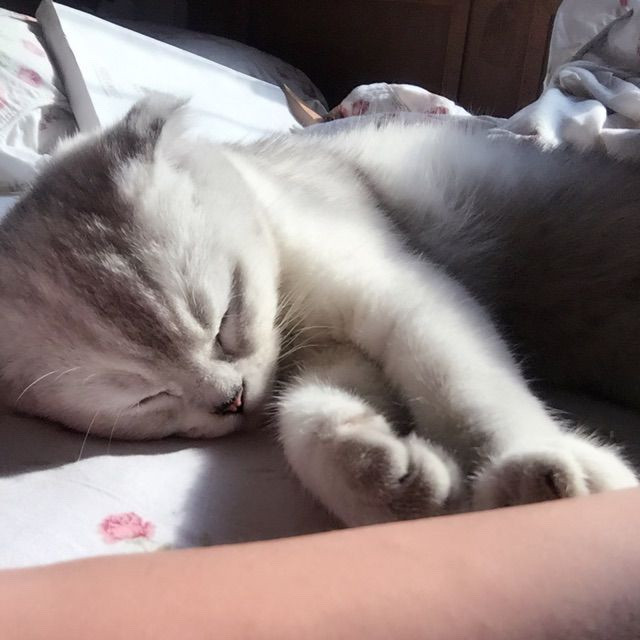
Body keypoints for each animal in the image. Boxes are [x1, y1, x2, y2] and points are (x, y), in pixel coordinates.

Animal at [0, 95, 637, 526]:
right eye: (146, 398)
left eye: (224, 320)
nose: (230, 401)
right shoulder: (336, 359)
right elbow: (309, 421)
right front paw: (396, 483)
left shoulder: (401, 294)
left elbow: (467, 395)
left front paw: (533, 475)